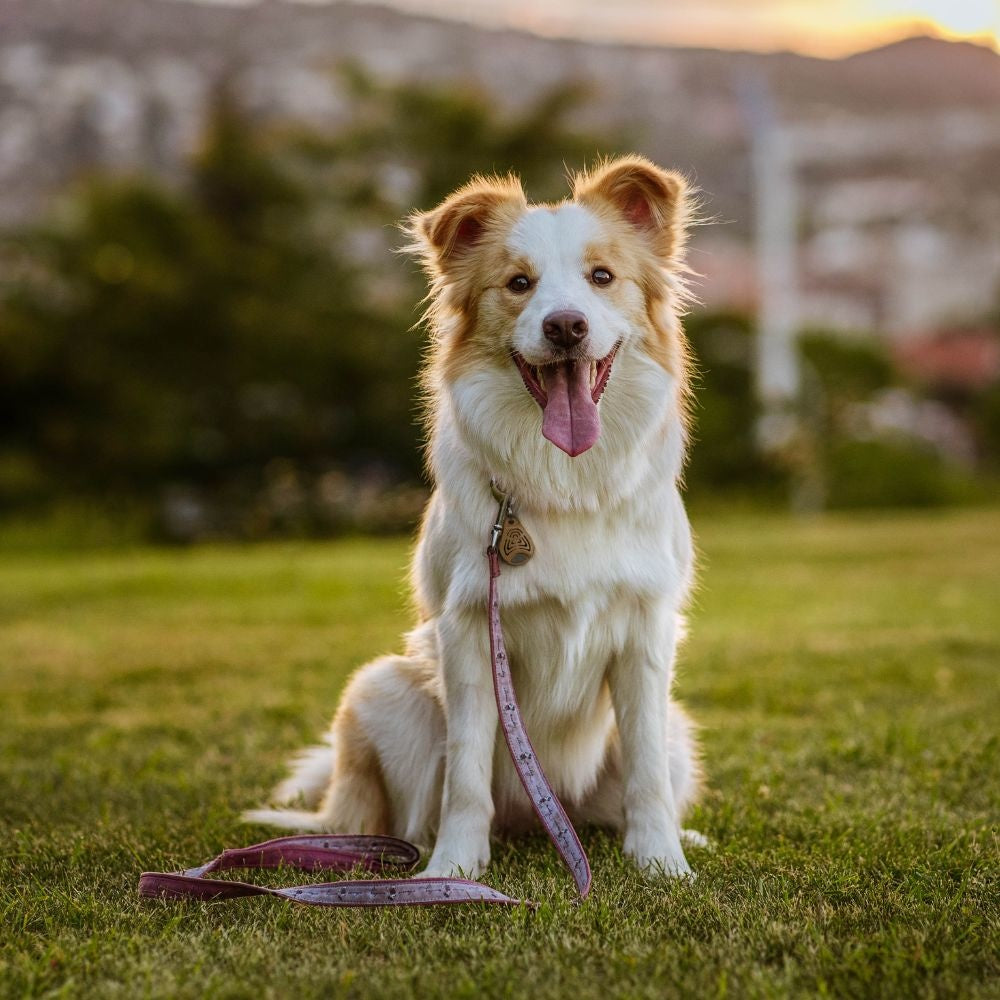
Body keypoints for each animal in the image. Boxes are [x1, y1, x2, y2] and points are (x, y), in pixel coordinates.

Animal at [246, 152, 704, 880]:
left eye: (602, 277)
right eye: (518, 284)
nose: (565, 326)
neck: (563, 482)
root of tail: (535, 821)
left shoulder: (646, 633)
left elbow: (647, 771)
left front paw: (661, 863)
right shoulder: (467, 632)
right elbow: (463, 775)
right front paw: (453, 871)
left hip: (680, 729)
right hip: (382, 690)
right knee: (405, 814)